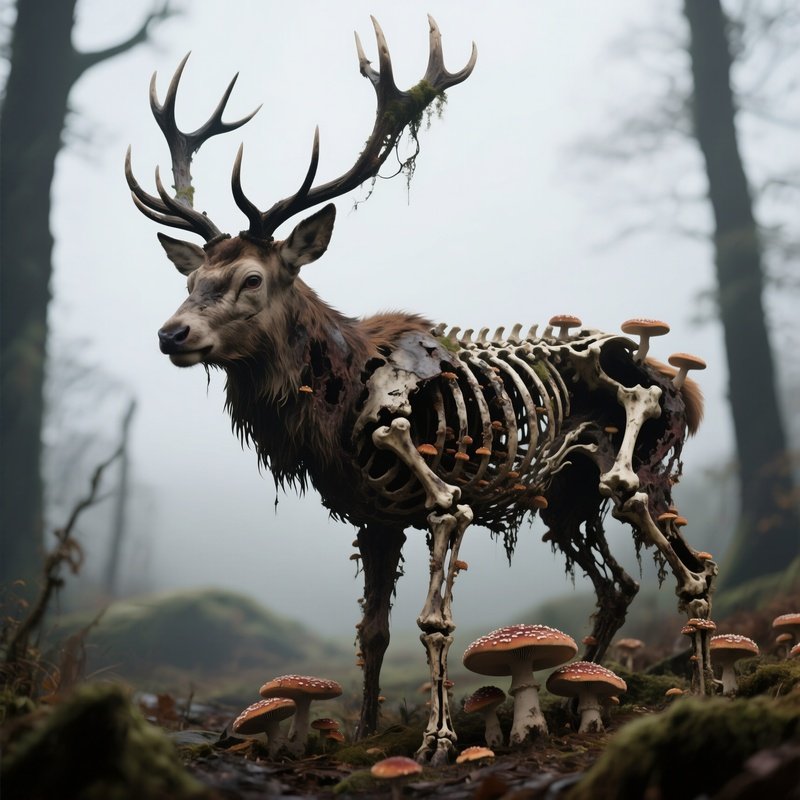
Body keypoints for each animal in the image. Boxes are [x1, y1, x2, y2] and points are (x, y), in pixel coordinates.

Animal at [126, 17, 717, 764]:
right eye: (190, 279)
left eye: (252, 279)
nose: (171, 334)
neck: (332, 408)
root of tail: (679, 387)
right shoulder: (372, 516)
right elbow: (372, 634)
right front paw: (367, 733)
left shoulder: (442, 497)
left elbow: (432, 620)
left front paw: (437, 740)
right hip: (563, 501)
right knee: (623, 585)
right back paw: (580, 685)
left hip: (638, 468)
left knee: (691, 567)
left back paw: (702, 689)